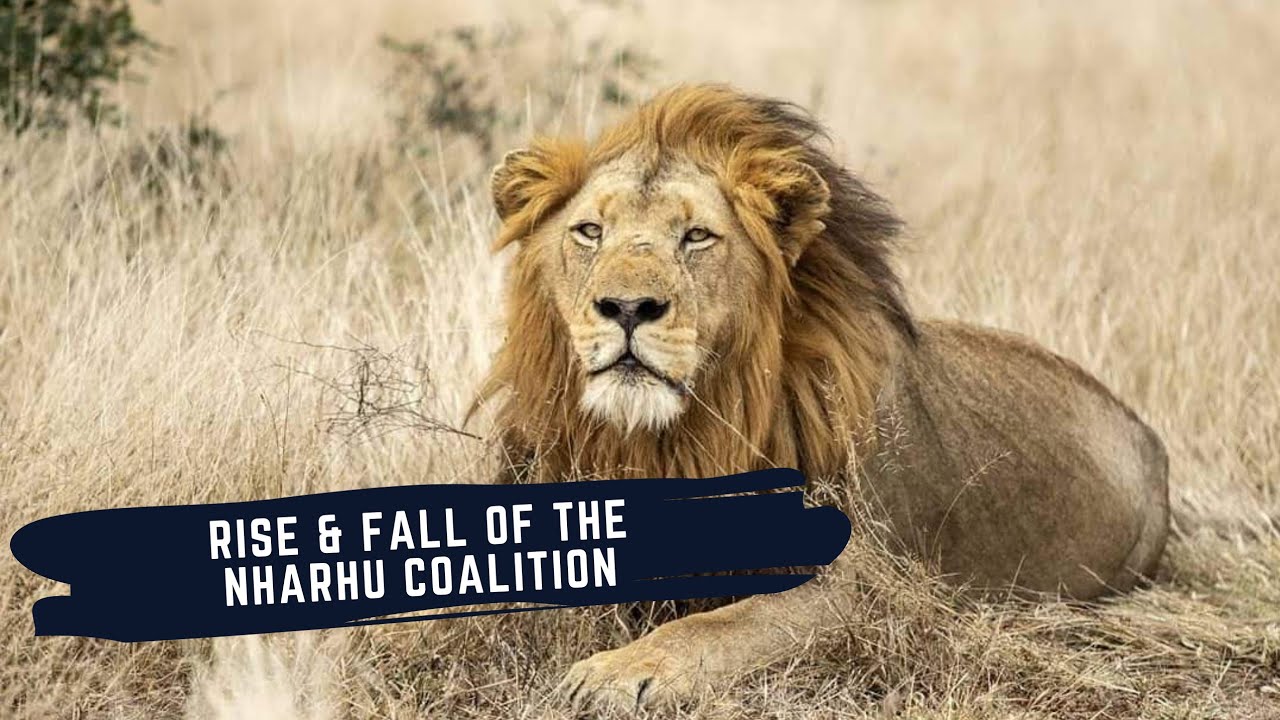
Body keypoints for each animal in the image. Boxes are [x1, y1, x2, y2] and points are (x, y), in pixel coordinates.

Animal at [475, 84, 1169, 709]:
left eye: (696, 237)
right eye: (590, 231)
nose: (626, 307)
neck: (667, 439)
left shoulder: (868, 586)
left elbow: (722, 625)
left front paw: (617, 672)